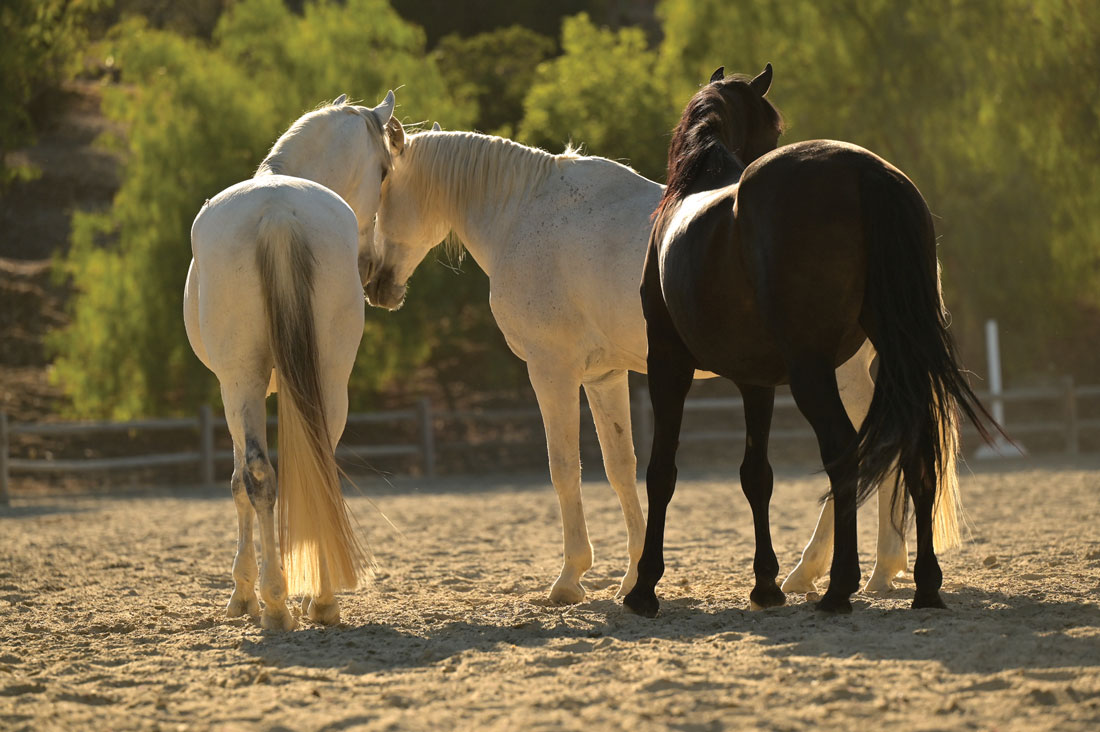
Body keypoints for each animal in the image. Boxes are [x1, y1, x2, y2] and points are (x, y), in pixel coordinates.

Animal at [183, 89, 400, 629]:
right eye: (384, 170)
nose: (371, 268)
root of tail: (277, 210)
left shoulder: (237, 390)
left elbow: (240, 482)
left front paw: (244, 594)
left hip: (242, 380)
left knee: (260, 475)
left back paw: (283, 602)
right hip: (327, 378)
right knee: (313, 463)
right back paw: (312, 600)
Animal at [363, 125, 919, 603]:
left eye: (384, 182)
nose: (375, 284)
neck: (522, 215)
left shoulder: (551, 371)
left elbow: (564, 467)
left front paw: (570, 578)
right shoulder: (604, 377)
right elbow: (620, 467)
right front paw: (633, 574)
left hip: (837, 375)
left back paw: (827, 570)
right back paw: (877, 570)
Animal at [629, 65, 998, 616]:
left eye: (775, 128)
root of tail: (865, 171)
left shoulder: (668, 363)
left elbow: (662, 471)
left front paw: (644, 587)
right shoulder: (755, 381)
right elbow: (756, 475)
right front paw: (765, 585)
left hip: (810, 372)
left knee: (843, 452)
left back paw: (839, 587)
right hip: (888, 357)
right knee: (913, 451)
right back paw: (926, 586)